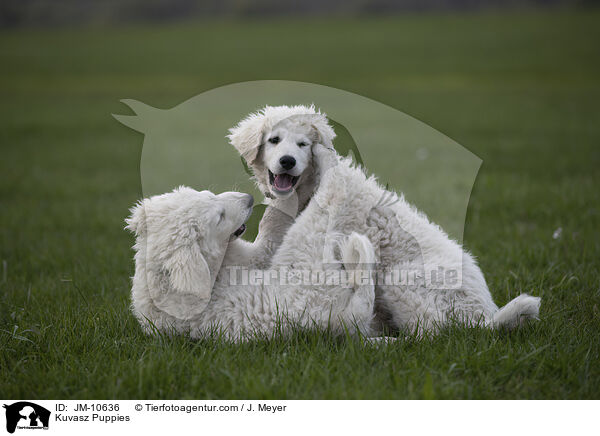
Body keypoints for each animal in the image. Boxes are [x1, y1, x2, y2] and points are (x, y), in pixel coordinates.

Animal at [125, 186, 376, 340]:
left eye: (208, 193)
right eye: (220, 217)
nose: (249, 198)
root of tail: (344, 318)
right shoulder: (253, 258)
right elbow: (270, 231)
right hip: (306, 263)